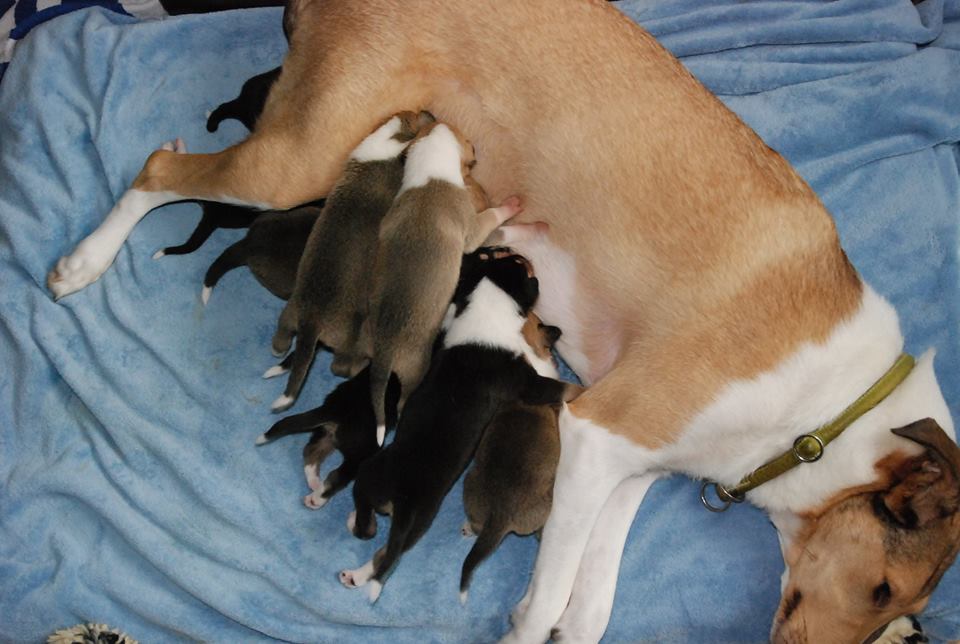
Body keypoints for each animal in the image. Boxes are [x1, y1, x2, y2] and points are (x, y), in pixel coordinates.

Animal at [270, 110, 435, 412]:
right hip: (347, 334)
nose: (429, 112)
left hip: (289, 315)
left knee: (281, 335)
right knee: (340, 366)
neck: (387, 138)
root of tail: (311, 320)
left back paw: (278, 350)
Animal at [365, 122, 524, 445]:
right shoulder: (473, 228)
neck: (430, 173)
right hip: (415, 368)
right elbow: (492, 215)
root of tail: (385, 349)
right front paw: (509, 206)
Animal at [459, 313, 565, 602]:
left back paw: (468, 527)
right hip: (545, 504)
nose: (558, 330)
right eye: (540, 322)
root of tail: (499, 513)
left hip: (470, 483)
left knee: (477, 526)